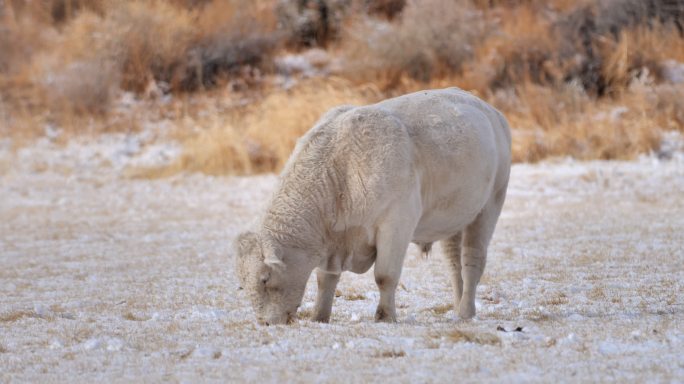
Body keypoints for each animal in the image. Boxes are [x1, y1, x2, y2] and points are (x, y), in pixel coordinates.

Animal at [235, 88, 508, 324]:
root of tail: (492, 111)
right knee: (454, 265)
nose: (266, 323)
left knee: (472, 262)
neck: (340, 172)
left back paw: (466, 312)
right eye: (243, 283)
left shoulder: (396, 223)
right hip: (452, 219)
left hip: (489, 206)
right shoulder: (333, 242)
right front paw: (319, 316)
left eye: (264, 279)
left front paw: (385, 316)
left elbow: (385, 276)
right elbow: (325, 280)